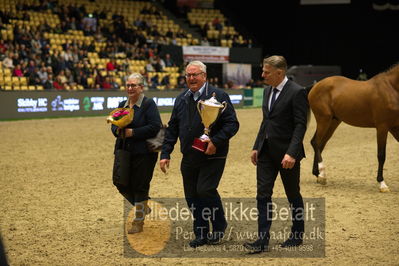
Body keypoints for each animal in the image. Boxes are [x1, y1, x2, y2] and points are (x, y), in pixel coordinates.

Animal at [306, 63, 399, 192]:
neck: (391, 87)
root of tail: (315, 85)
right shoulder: (382, 127)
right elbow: (381, 155)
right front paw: (382, 184)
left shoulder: (395, 127)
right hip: (323, 119)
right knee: (315, 142)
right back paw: (322, 175)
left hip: (333, 122)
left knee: (320, 144)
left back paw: (318, 174)